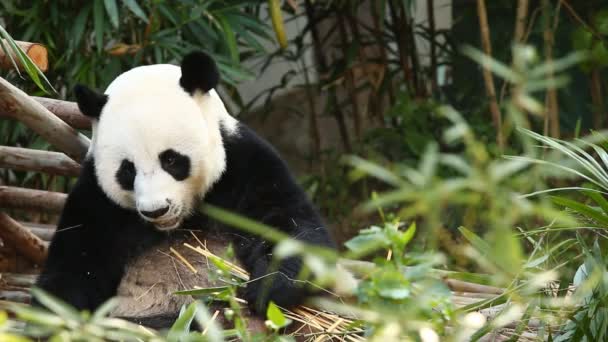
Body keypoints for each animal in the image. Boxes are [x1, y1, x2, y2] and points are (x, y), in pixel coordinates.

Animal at [36, 51, 334, 326]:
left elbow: (289, 224)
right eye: (127, 170)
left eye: (170, 159)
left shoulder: (244, 165)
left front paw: (269, 289)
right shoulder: (96, 199)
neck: (180, 222)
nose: (156, 210)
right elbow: (74, 266)